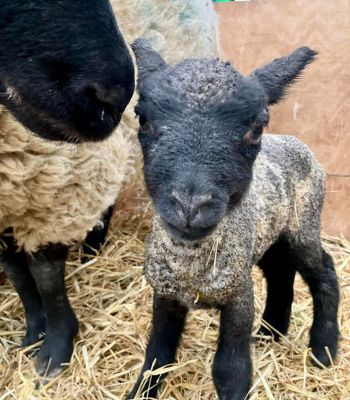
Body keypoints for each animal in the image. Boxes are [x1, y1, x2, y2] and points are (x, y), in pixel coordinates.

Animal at [128, 39, 340, 400]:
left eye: (256, 128)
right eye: (142, 119)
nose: (190, 205)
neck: (191, 271)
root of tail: (294, 141)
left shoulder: (238, 296)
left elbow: (230, 370)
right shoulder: (165, 295)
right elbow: (157, 354)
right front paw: (141, 390)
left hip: (304, 223)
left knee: (323, 270)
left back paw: (324, 350)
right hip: (268, 232)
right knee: (280, 271)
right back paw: (272, 332)